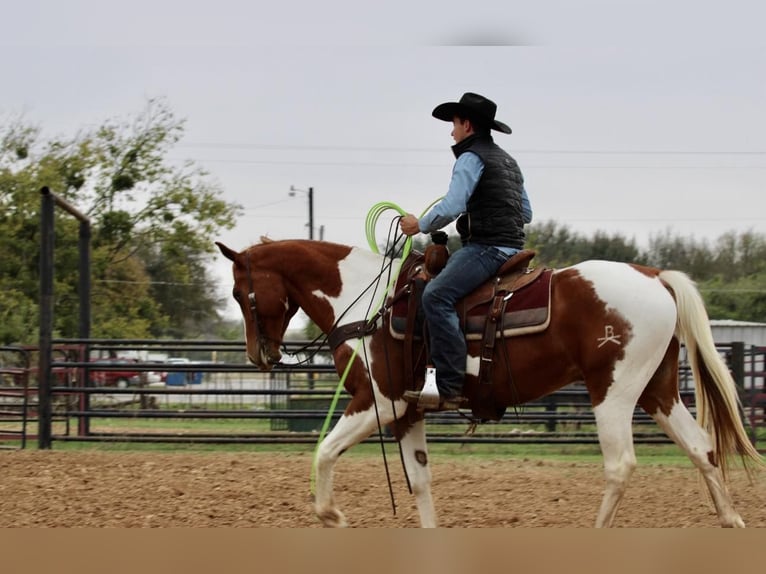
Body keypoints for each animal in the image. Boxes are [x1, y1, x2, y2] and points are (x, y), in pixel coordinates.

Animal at [216, 236, 760, 528]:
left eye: (241, 293)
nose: (258, 355)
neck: (367, 305)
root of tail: (655, 276)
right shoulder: (408, 412)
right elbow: (420, 482)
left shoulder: (378, 402)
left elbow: (325, 451)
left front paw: (331, 515)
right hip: (658, 390)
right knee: (702, 448)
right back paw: (731, 519)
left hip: (615, 392)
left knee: (620, 465)